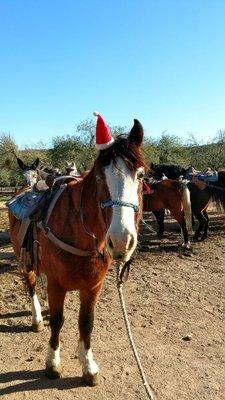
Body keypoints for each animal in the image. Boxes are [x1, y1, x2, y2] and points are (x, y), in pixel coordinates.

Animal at [8, 118, 146, 384]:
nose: (121, 240)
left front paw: (88, 365)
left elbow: (86, 323)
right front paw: (53, 363)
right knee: (31, 283)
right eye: (100, 177)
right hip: (23, 258)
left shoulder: (92, 286)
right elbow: (58, 321)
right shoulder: (57, 284)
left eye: (141, 175)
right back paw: (37, 317)